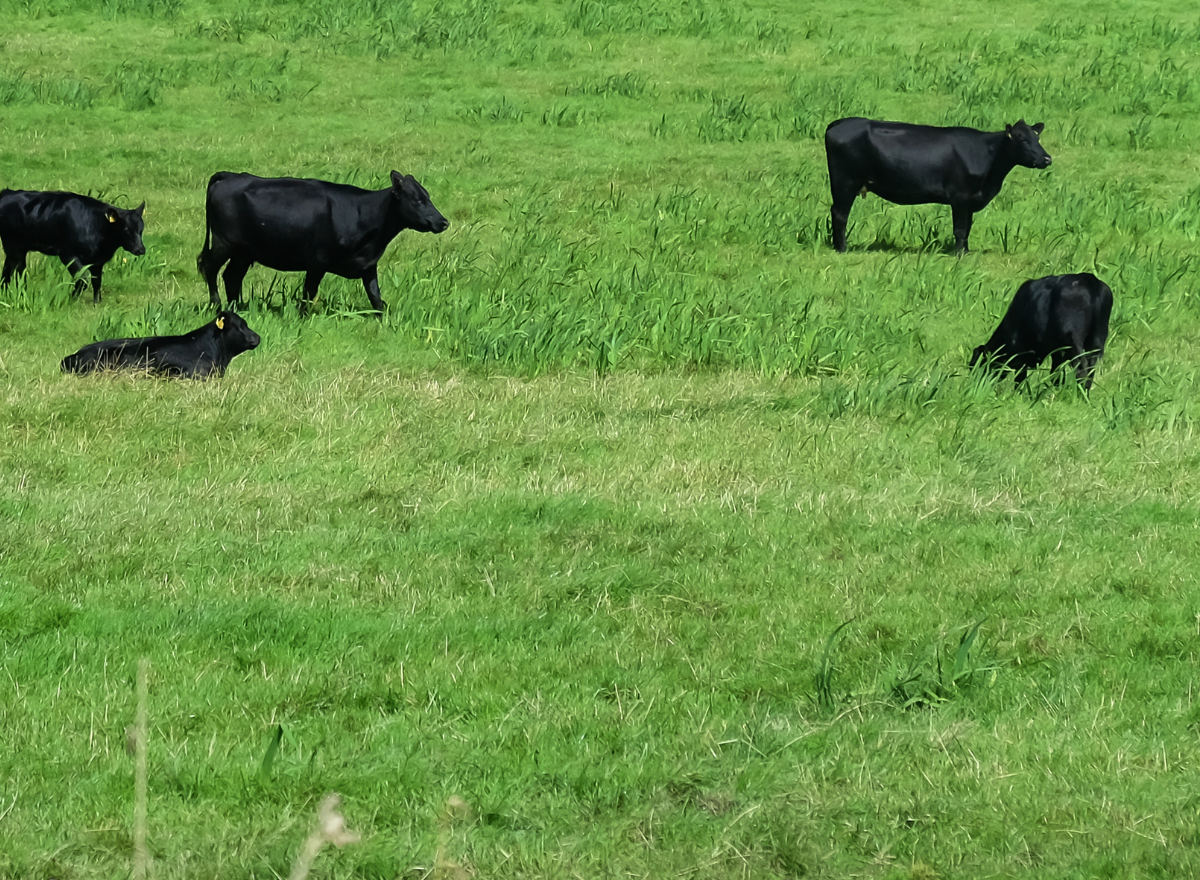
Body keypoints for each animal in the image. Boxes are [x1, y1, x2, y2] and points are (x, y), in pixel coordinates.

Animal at [0, 188, 146, 302]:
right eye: (126, 229)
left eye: (141, 229)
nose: (141, 250)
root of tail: (7, 192)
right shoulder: (68, 255)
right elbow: (83, 279)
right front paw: (71, 300)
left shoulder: (98, 261)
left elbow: (97, 281)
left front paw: (96, 303)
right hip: (14, 247)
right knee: (19, 272)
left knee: (8, 269)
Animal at [196, 169, 451, 312]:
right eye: (417, 200)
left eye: (427, 197)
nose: (444, 222)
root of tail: (229, 176)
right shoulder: (317, 262)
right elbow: (309, 294)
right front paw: (302, 317)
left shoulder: (369, 265)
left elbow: (376, 297)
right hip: (223, 242)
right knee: (209, 267)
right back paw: (216, 305)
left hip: (244, 252)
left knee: (231, 276)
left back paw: (237, 307)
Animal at [825, 115, 1051, 250]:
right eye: (1023, 140)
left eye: (1038, 139)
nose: (1047, 159)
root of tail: (838, 123)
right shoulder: (960, 197)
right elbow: (960, 229)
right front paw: (959, 255)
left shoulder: (970, 201)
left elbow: (967, 228)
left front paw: (966, 252)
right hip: (845, 182)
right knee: (840, 214)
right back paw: (842, 248)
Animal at [969, 271, 1108, 388]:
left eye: (976, 366)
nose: (974, 386)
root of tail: (1086, 278)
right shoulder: (1057, 352)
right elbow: (1056, 374)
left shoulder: (1021, 355)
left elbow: (1020, 380)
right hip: (1096, 341)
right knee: (1090, 370)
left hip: (1073, 340)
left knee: (1081, 369)